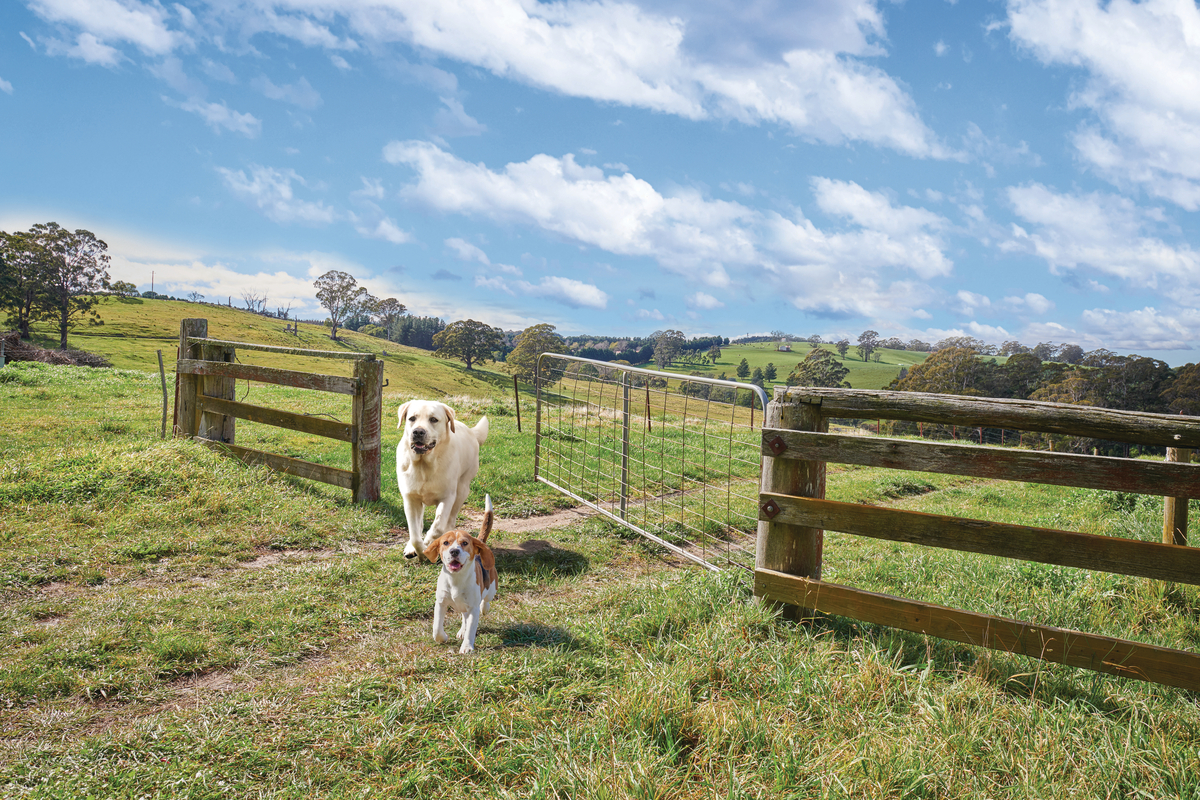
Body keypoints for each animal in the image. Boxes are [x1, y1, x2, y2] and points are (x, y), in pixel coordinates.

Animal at [393, 398, 487, 561]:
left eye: (433, 419)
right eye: (412, 418)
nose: (418, 431)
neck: (424, 465)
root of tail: (470, 431)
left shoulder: (447, 497)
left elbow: (437, 527)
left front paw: (430, 543)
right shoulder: (411, 499)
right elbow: (415, 534)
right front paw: (418, 549)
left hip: (462, 489)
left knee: (450, 520)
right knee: (419, 525)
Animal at [424, 494, 499, 657]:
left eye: (464, 543)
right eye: (446, 543)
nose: (454, 551)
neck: (455, 579)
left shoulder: (473, 608)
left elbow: (471, 629)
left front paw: (467, 647)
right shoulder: (441, 603)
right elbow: (436, 628)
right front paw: (443, 638)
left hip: (490, 589)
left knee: (486, 600)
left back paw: (484, 608)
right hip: (464, 606)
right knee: (464, 617)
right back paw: (461, 631)